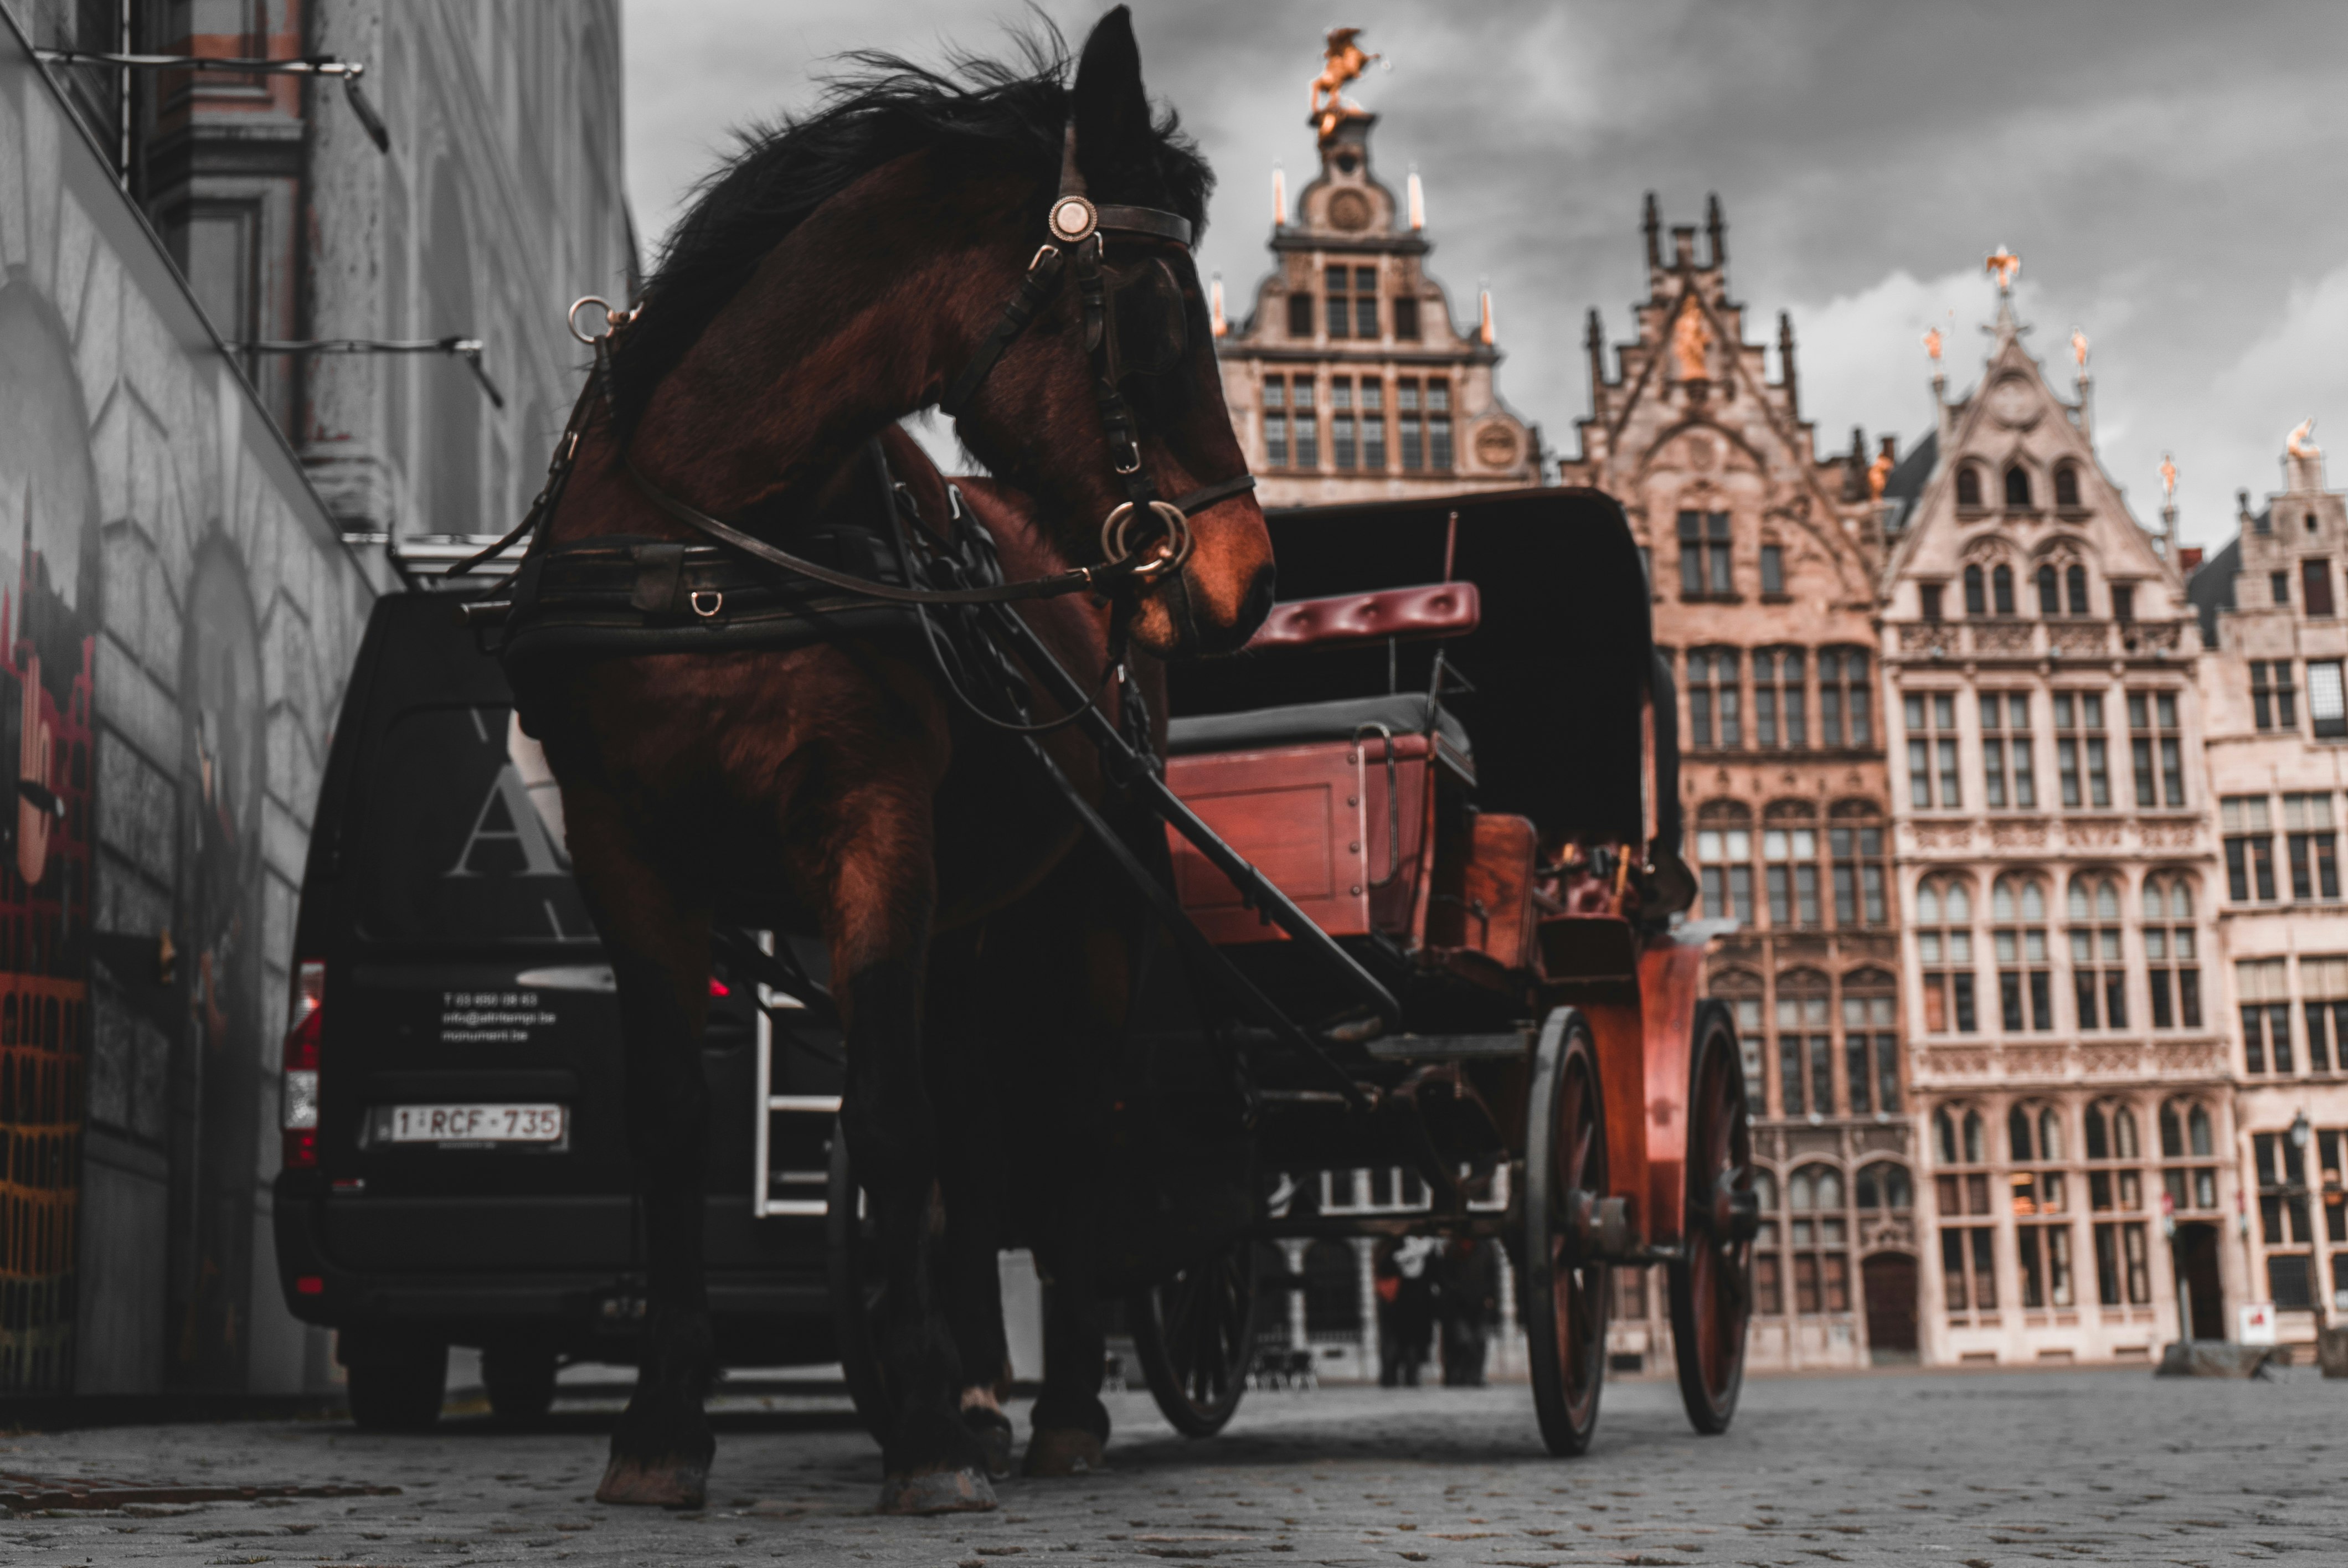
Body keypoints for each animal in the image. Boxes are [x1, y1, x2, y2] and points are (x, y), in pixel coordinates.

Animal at [514, 15, 1268, 1521]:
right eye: (1158, 314)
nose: (1248, 576)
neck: (711, 539)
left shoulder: (869, 828)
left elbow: (888, 1117)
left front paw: (920, 1431)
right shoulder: (628, 844)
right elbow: (678, 1120)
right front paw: (664, 1420)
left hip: (1092, 905)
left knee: (1072, 1125)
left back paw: (1060, 1408)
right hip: (971, 929)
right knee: (977, 1134)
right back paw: (982, 1390)